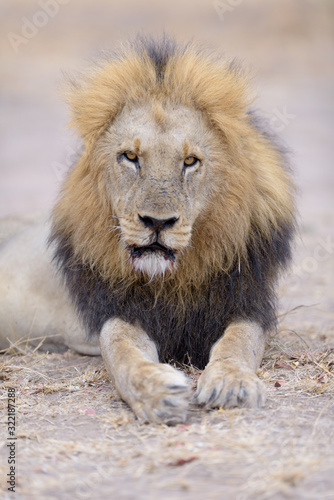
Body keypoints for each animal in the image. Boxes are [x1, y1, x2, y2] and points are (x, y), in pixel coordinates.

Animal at [0, 38, 294, 426]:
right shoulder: (118, 310)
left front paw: (232, 383)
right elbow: (122, 352)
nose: (156, 222)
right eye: (130, 157)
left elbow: (238, 344)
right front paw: (156, 392)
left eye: (190, 162)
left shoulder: (245, 303)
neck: (175, 279)